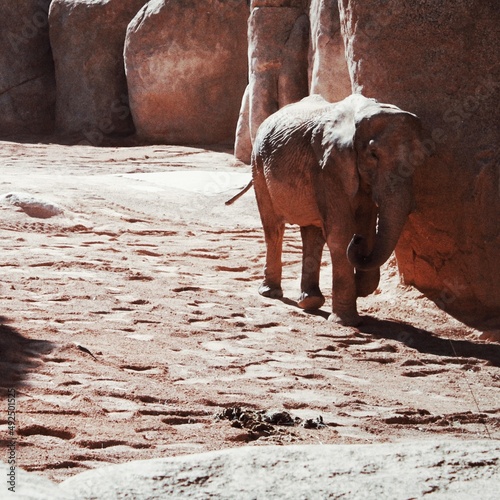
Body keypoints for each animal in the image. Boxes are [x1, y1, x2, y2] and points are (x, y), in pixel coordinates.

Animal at [254, 94, 422, 328]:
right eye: (373, 155)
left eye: (420, 158)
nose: (356, 242)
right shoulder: (329, 167)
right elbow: (340, 233)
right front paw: (346, 321)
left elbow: (367, 226)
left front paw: (360, 286)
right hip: (259, 167)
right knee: (273, 229)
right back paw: (271, 293)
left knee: (312, 234)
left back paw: (309, 302)